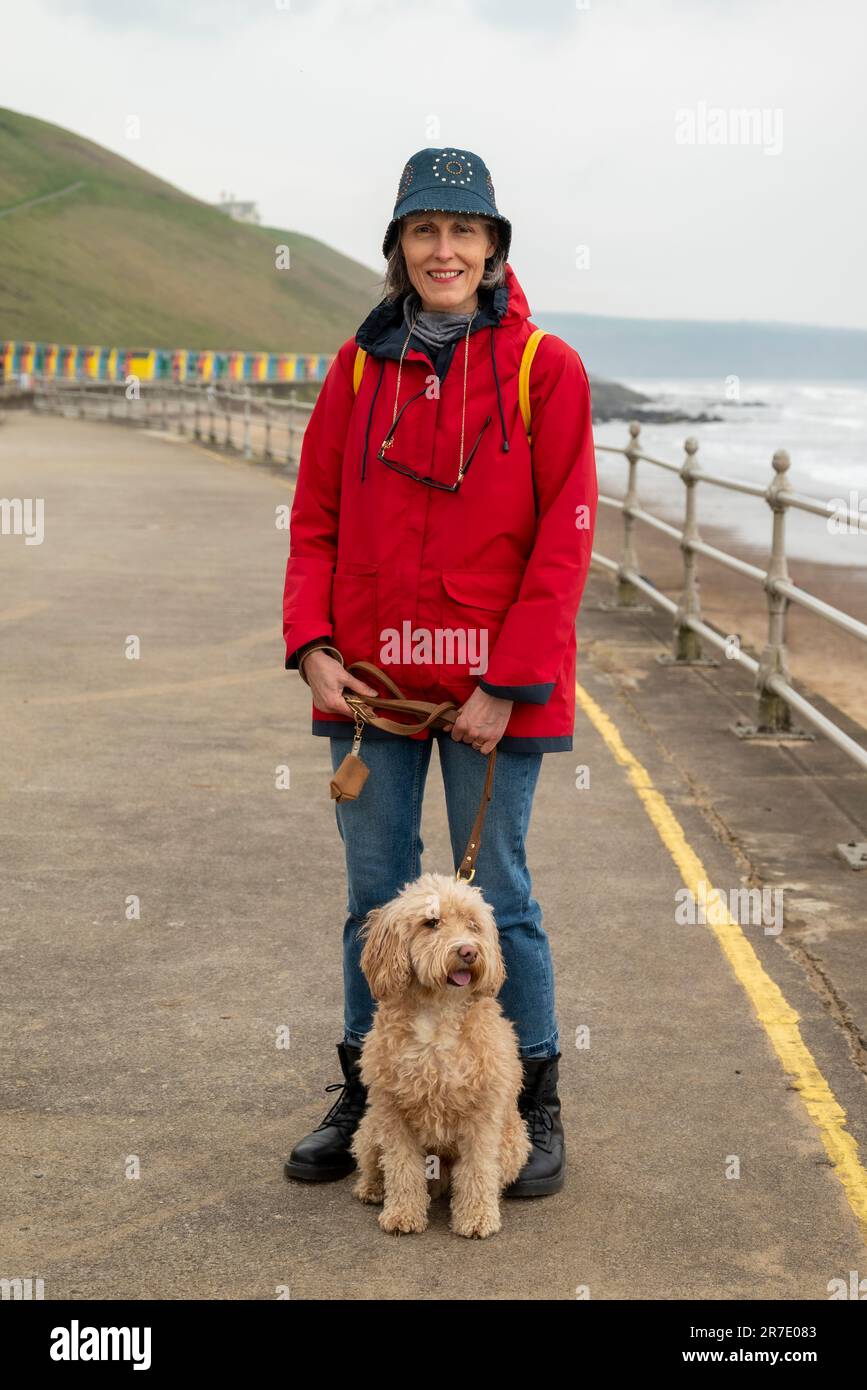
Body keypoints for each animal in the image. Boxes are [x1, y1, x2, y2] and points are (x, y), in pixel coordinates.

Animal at [350, 867, 527, 1239]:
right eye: (431, 923)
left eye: (473, 925)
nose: (468, 952)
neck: (439, 1013)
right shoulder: (393, 1112)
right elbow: (401, 1167)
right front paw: (403, 1214)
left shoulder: (482, 1115)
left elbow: (477, 1170)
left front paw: (477, 1218)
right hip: (371, 1130)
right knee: (375, 1164)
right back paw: (372, 1188)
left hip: (513, 1144)